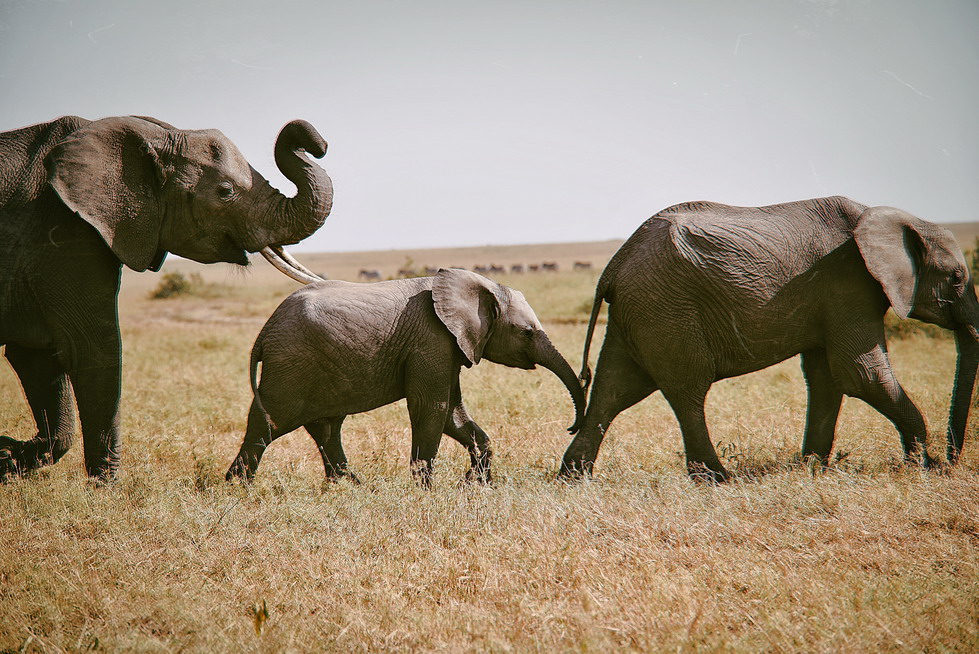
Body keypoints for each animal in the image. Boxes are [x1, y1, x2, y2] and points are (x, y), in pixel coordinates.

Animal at [0, 115, 334, 480]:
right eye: (225, 192)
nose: (319, 145)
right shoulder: (65, 234)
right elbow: (92, 349)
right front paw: (106, 488)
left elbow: (36, 359)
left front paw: (7, 455)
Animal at [226, 266, 584, 486]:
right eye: (527, 333)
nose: (571, 427)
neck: (477, 285)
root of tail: (264, 332)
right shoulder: (431, 340)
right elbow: (433, 408)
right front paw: (426, 491)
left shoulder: (449, 346)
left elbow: (452, 414)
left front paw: (476, 485)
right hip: (291, 364)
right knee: (268, 423)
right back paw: (238, 487)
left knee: (326, 427)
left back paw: (351, 486)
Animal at [560, 195, 979, 482]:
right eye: (957, 277)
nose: (951, 460)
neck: (886, 216)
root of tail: (613, 265)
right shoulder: (849, 286)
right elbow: (861, 375)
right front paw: (921, 467)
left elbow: (826, 378)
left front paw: (812, 468)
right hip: (667, 309)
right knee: (687, 390)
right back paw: (717, 480)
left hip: (640, 312)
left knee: (614, 389)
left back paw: (574, 477)